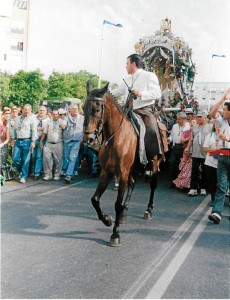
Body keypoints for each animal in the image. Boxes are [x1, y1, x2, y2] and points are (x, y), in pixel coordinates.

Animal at [83, 82, 161, 246]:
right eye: (83, 107)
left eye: (97, 109)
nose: (88, 138)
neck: (115, 138)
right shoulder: (107, 172)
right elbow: (95, 199)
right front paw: (107, 219)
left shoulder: (122, 174)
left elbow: (117, 204)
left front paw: (115, 234)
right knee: (132, 184)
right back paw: (125, 213)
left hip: (154, 164)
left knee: (153, 185)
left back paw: (148, 210)